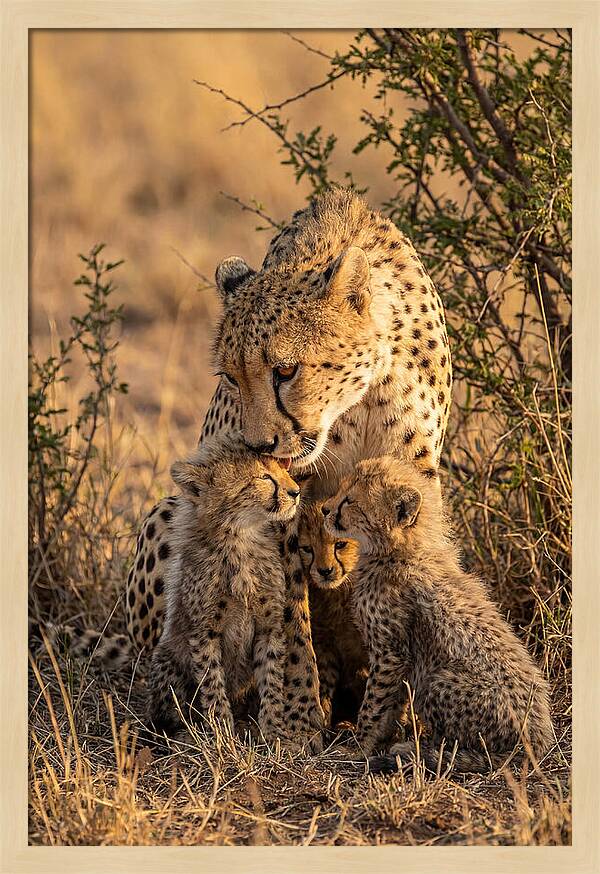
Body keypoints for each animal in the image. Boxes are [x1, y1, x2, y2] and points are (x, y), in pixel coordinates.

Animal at [146, 434, 301, 743]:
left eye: (282, 470)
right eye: (264, 477)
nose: (296, 492)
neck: (240, 539)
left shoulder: (270, 627)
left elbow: (271, 680)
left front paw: (273, 732)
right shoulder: (204, 632)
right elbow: (212, 683)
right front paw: (221, 733)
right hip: (167, 658)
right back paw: (186, 732)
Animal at [322, 456, 554, 773]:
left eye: (350, 501)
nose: (324, 509)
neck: (400, 550)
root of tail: (539, 741)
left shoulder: (391, 653)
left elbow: (374, 704)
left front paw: (359, 746)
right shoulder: (398, 658)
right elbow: (391, 705)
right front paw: (382, 738)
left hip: (438, 680)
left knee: (470, 749)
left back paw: (421, 751)